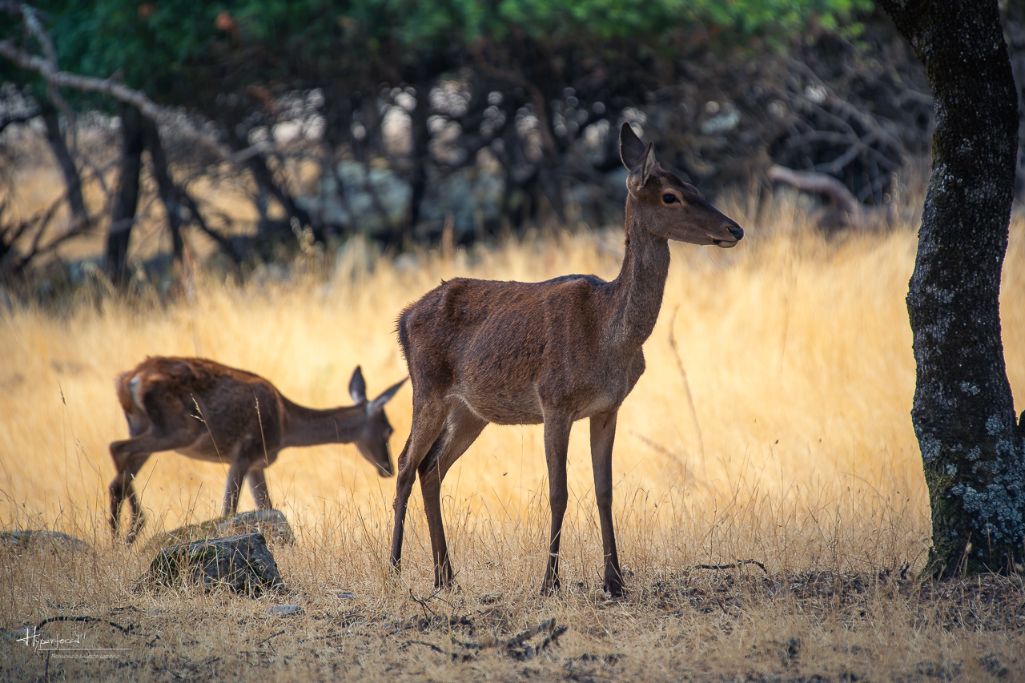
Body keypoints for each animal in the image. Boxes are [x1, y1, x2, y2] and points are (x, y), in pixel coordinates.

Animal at [108, 356, 406, 544]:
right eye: (388, 430)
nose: (388, 468)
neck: (285, 424)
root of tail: (131, 380)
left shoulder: (257, 465)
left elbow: (266, 506)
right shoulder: (245, 453)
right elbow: (227, 510)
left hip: (142, 424)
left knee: (119, 470)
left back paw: (120, 538)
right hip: (179, 428)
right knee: (117, 448)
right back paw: (134, 527)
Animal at [389, 123, 745, 597]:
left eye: (695, 185)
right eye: (671, 195)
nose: (735, 228)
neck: (609, 336)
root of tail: (403, 318)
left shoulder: (608, 408)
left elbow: (604, 490)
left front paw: (615, 581)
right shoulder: (555, 402)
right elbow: (558, 492)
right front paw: (549, 583)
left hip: (470, 411)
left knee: (432, 467)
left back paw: (445, 577)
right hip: (427, 389)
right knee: (405, 463)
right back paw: (394, 569)